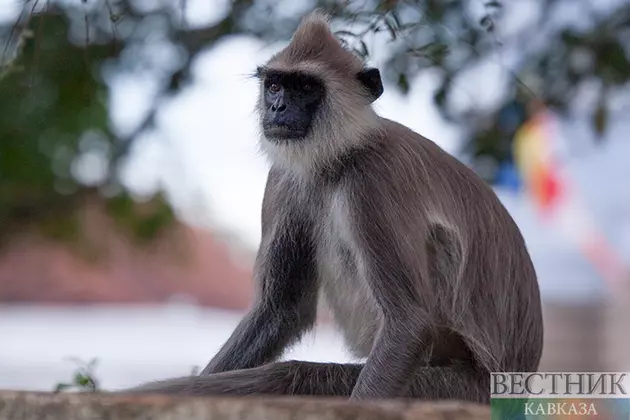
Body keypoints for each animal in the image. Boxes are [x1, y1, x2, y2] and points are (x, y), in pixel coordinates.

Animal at [121, 10, 544, 404]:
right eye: (275, 85)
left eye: (306, 87)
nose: (277, 107)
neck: (340, 156)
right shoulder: (285, 179)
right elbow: (280, 310)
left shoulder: (372, 181)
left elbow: (409, 323)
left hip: (453, 385)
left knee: (291, 376)